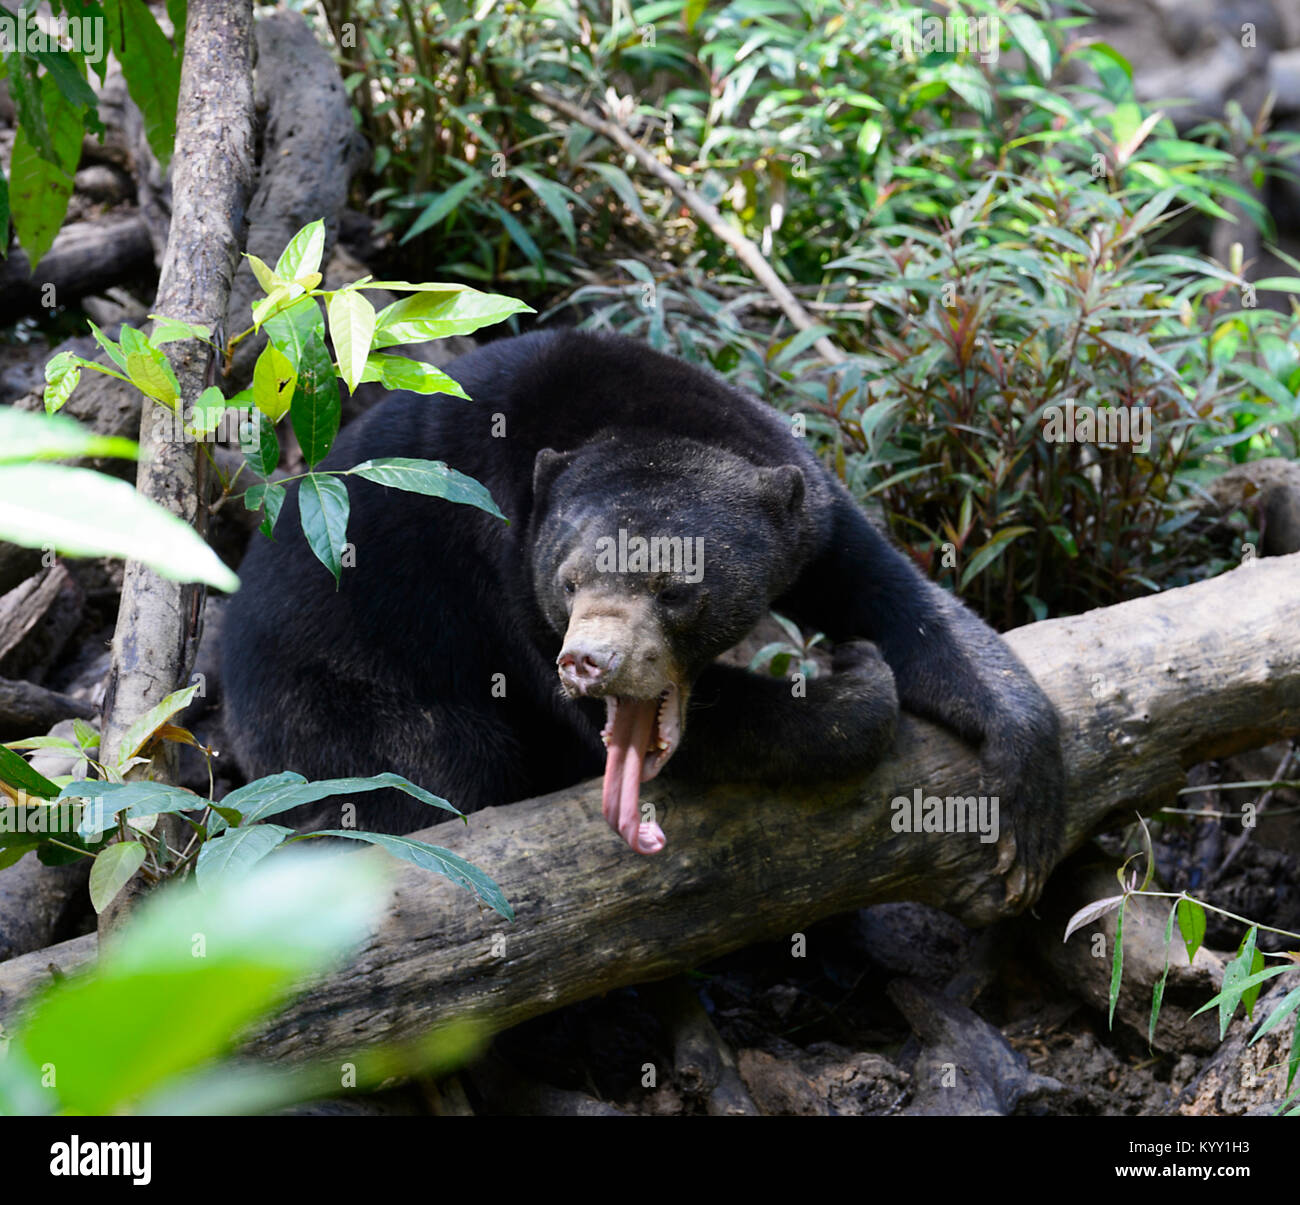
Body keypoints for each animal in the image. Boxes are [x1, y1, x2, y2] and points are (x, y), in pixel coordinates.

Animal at [221, 328, 1065, 906]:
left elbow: (894, 596)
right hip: (331, 702)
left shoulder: (808, 509)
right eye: (568, 582)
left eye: (677, 589)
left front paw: (1026, 815)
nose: (589, 661)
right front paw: (852, 684)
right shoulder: (500, 573)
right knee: (428, 769)